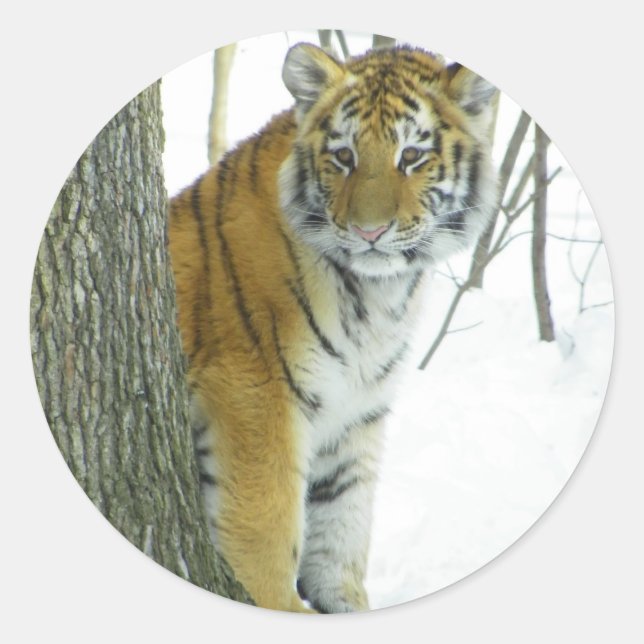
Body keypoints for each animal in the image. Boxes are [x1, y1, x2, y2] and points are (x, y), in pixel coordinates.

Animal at [168, 42, 497, 613]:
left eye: (412, 156)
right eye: (344, 156)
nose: (369, 232)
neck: (379, 297)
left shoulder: (356, 411)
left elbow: (343, 524)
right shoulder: (253, 392)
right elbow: (265, 523)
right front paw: (276, 604)